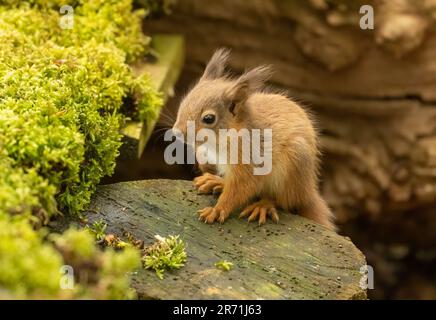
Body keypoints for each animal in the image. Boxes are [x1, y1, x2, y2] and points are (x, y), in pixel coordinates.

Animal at [172, 48, 336, 230]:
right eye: (184, 102)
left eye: (208, 118)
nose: (176, 132)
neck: (220, 141)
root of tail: (307, 190)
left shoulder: (250, 162)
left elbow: (241, 188)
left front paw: (217, 210)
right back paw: (217, 182)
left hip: (294, 164)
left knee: (283, 200)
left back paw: (263, 205)